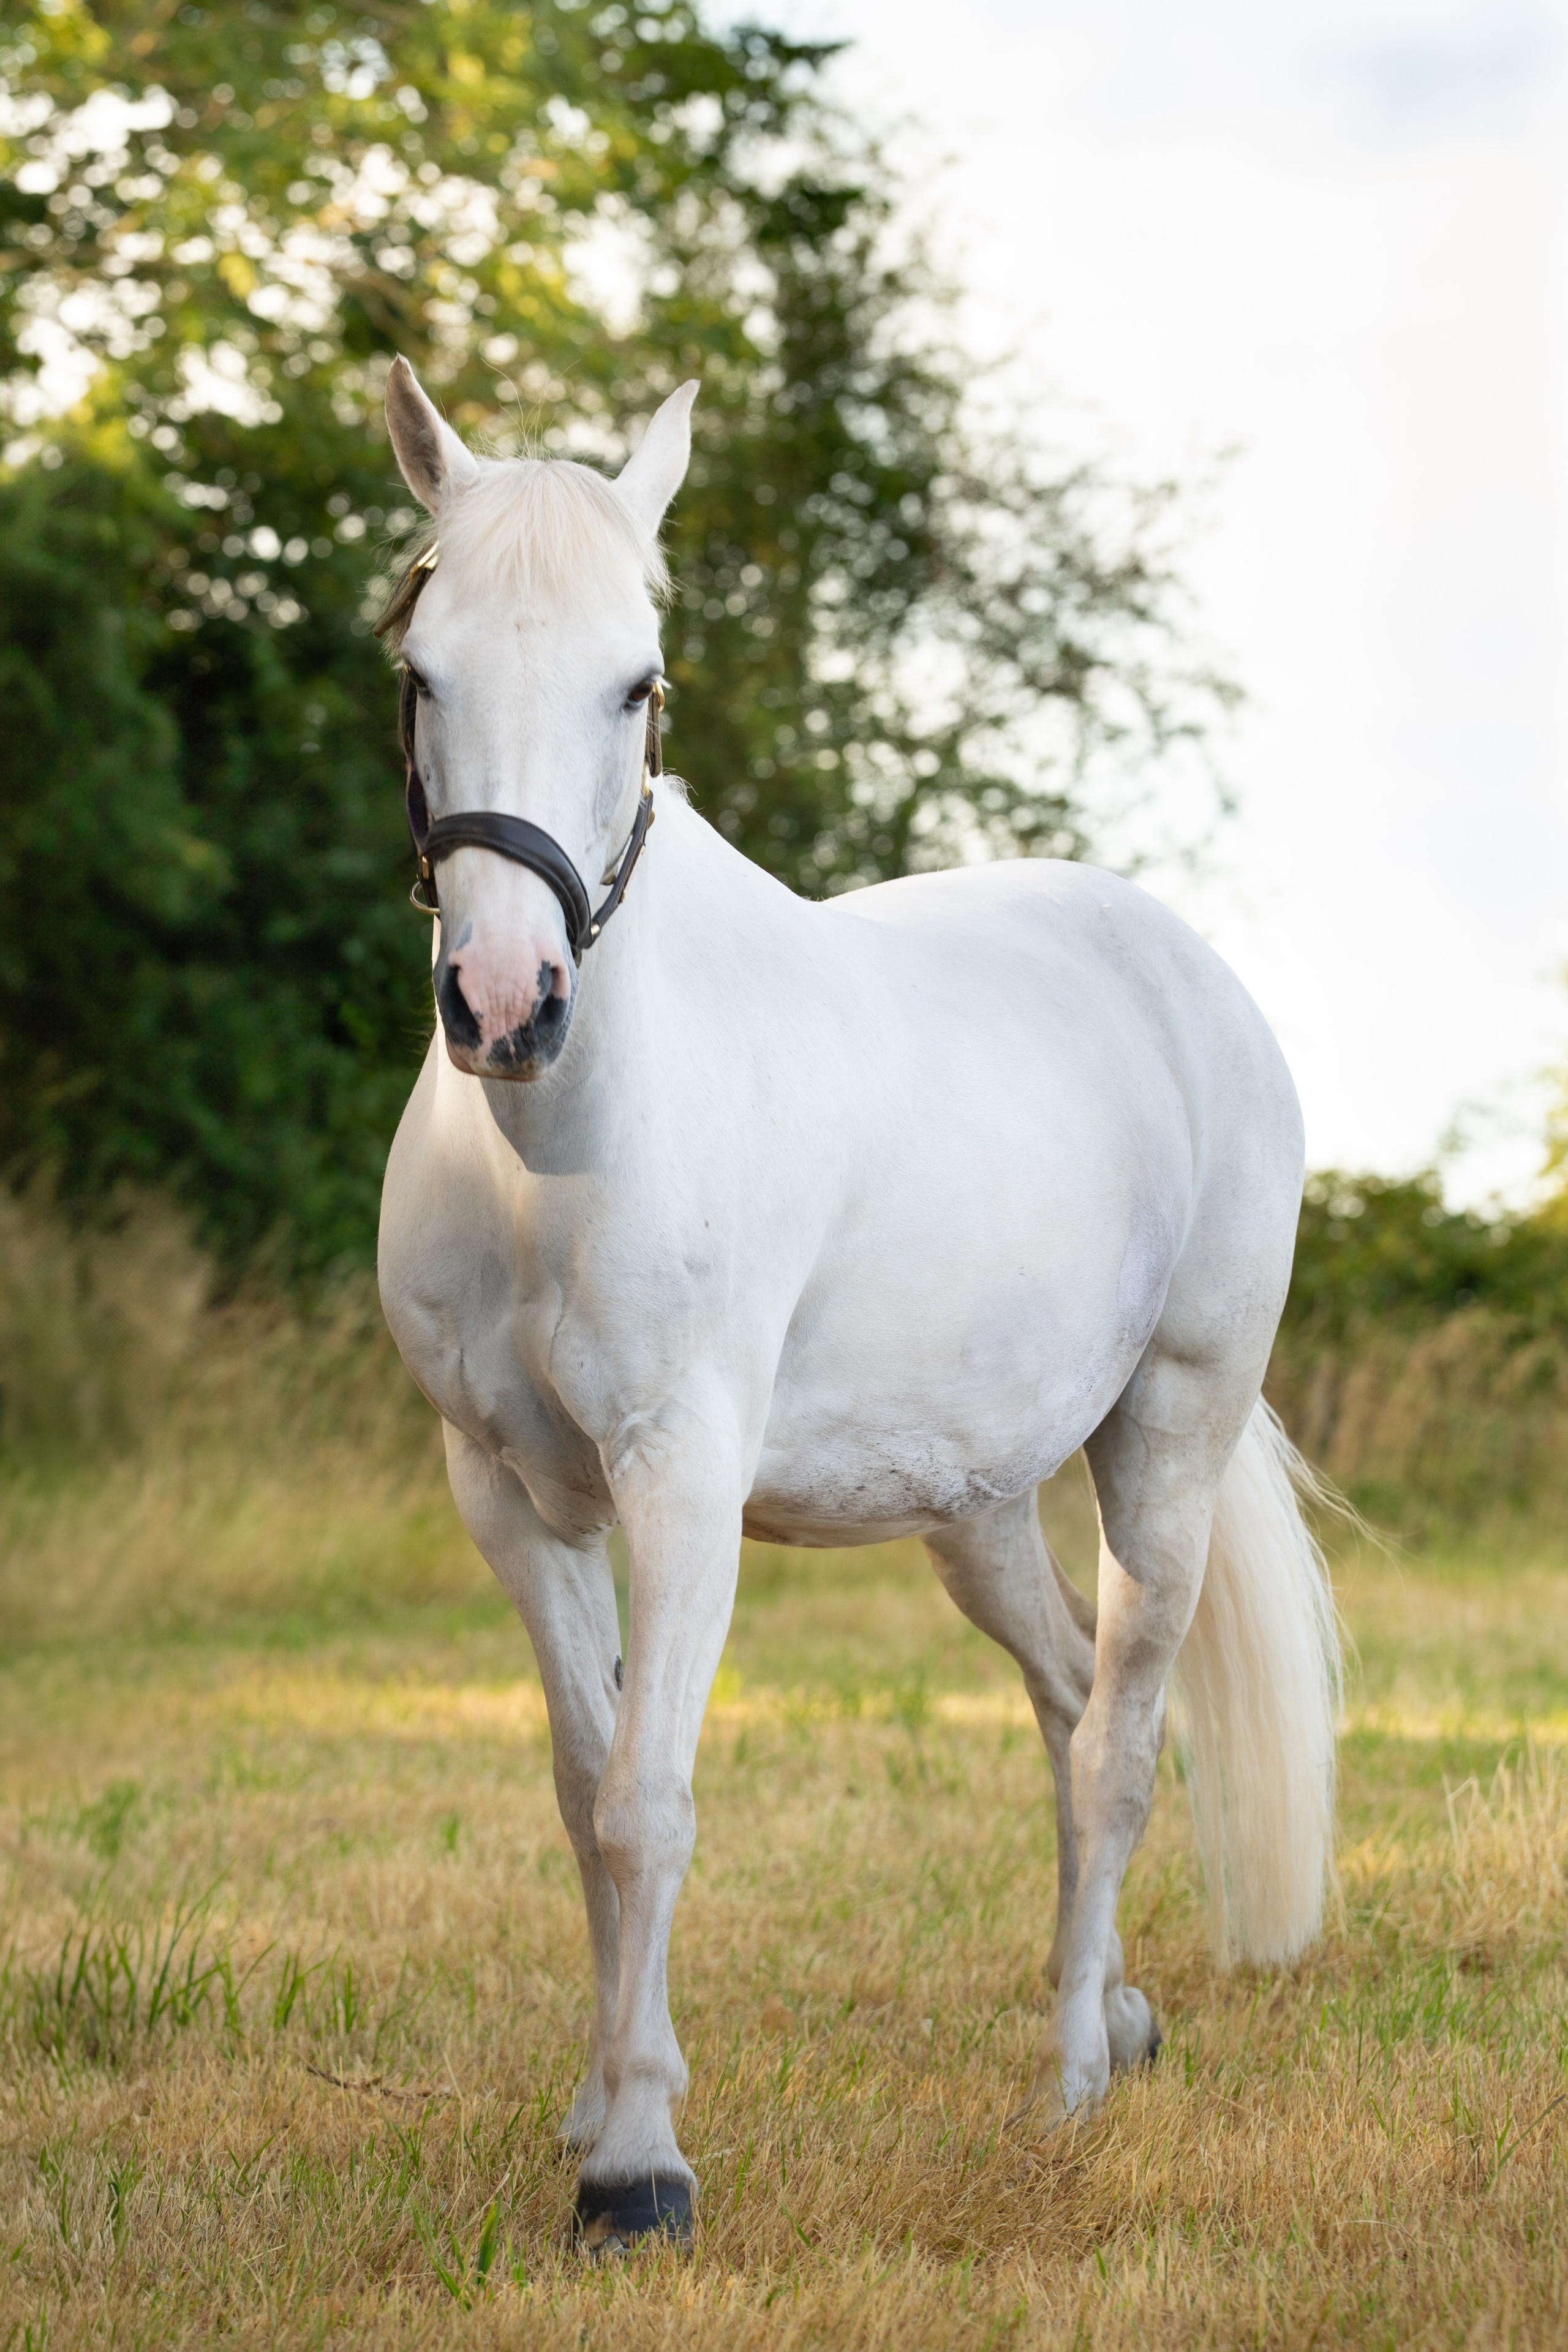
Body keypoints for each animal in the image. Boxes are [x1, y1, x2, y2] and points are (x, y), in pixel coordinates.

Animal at [374, 355, 1340, 2254]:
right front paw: (595, 2105)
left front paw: (637, 2171)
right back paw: (1121, 2014)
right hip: (974, 1500)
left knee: (1121, 1738)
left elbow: (646, 1803)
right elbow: (576, 1788)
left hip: (1168, 1436)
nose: (509, 1003)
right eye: (421, 671)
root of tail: (1182, 970)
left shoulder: (679, 1480)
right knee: (1066, 1693)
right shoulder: (509, 1497)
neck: (559, 1145)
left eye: (638, 682)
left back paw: (1069, 2079)